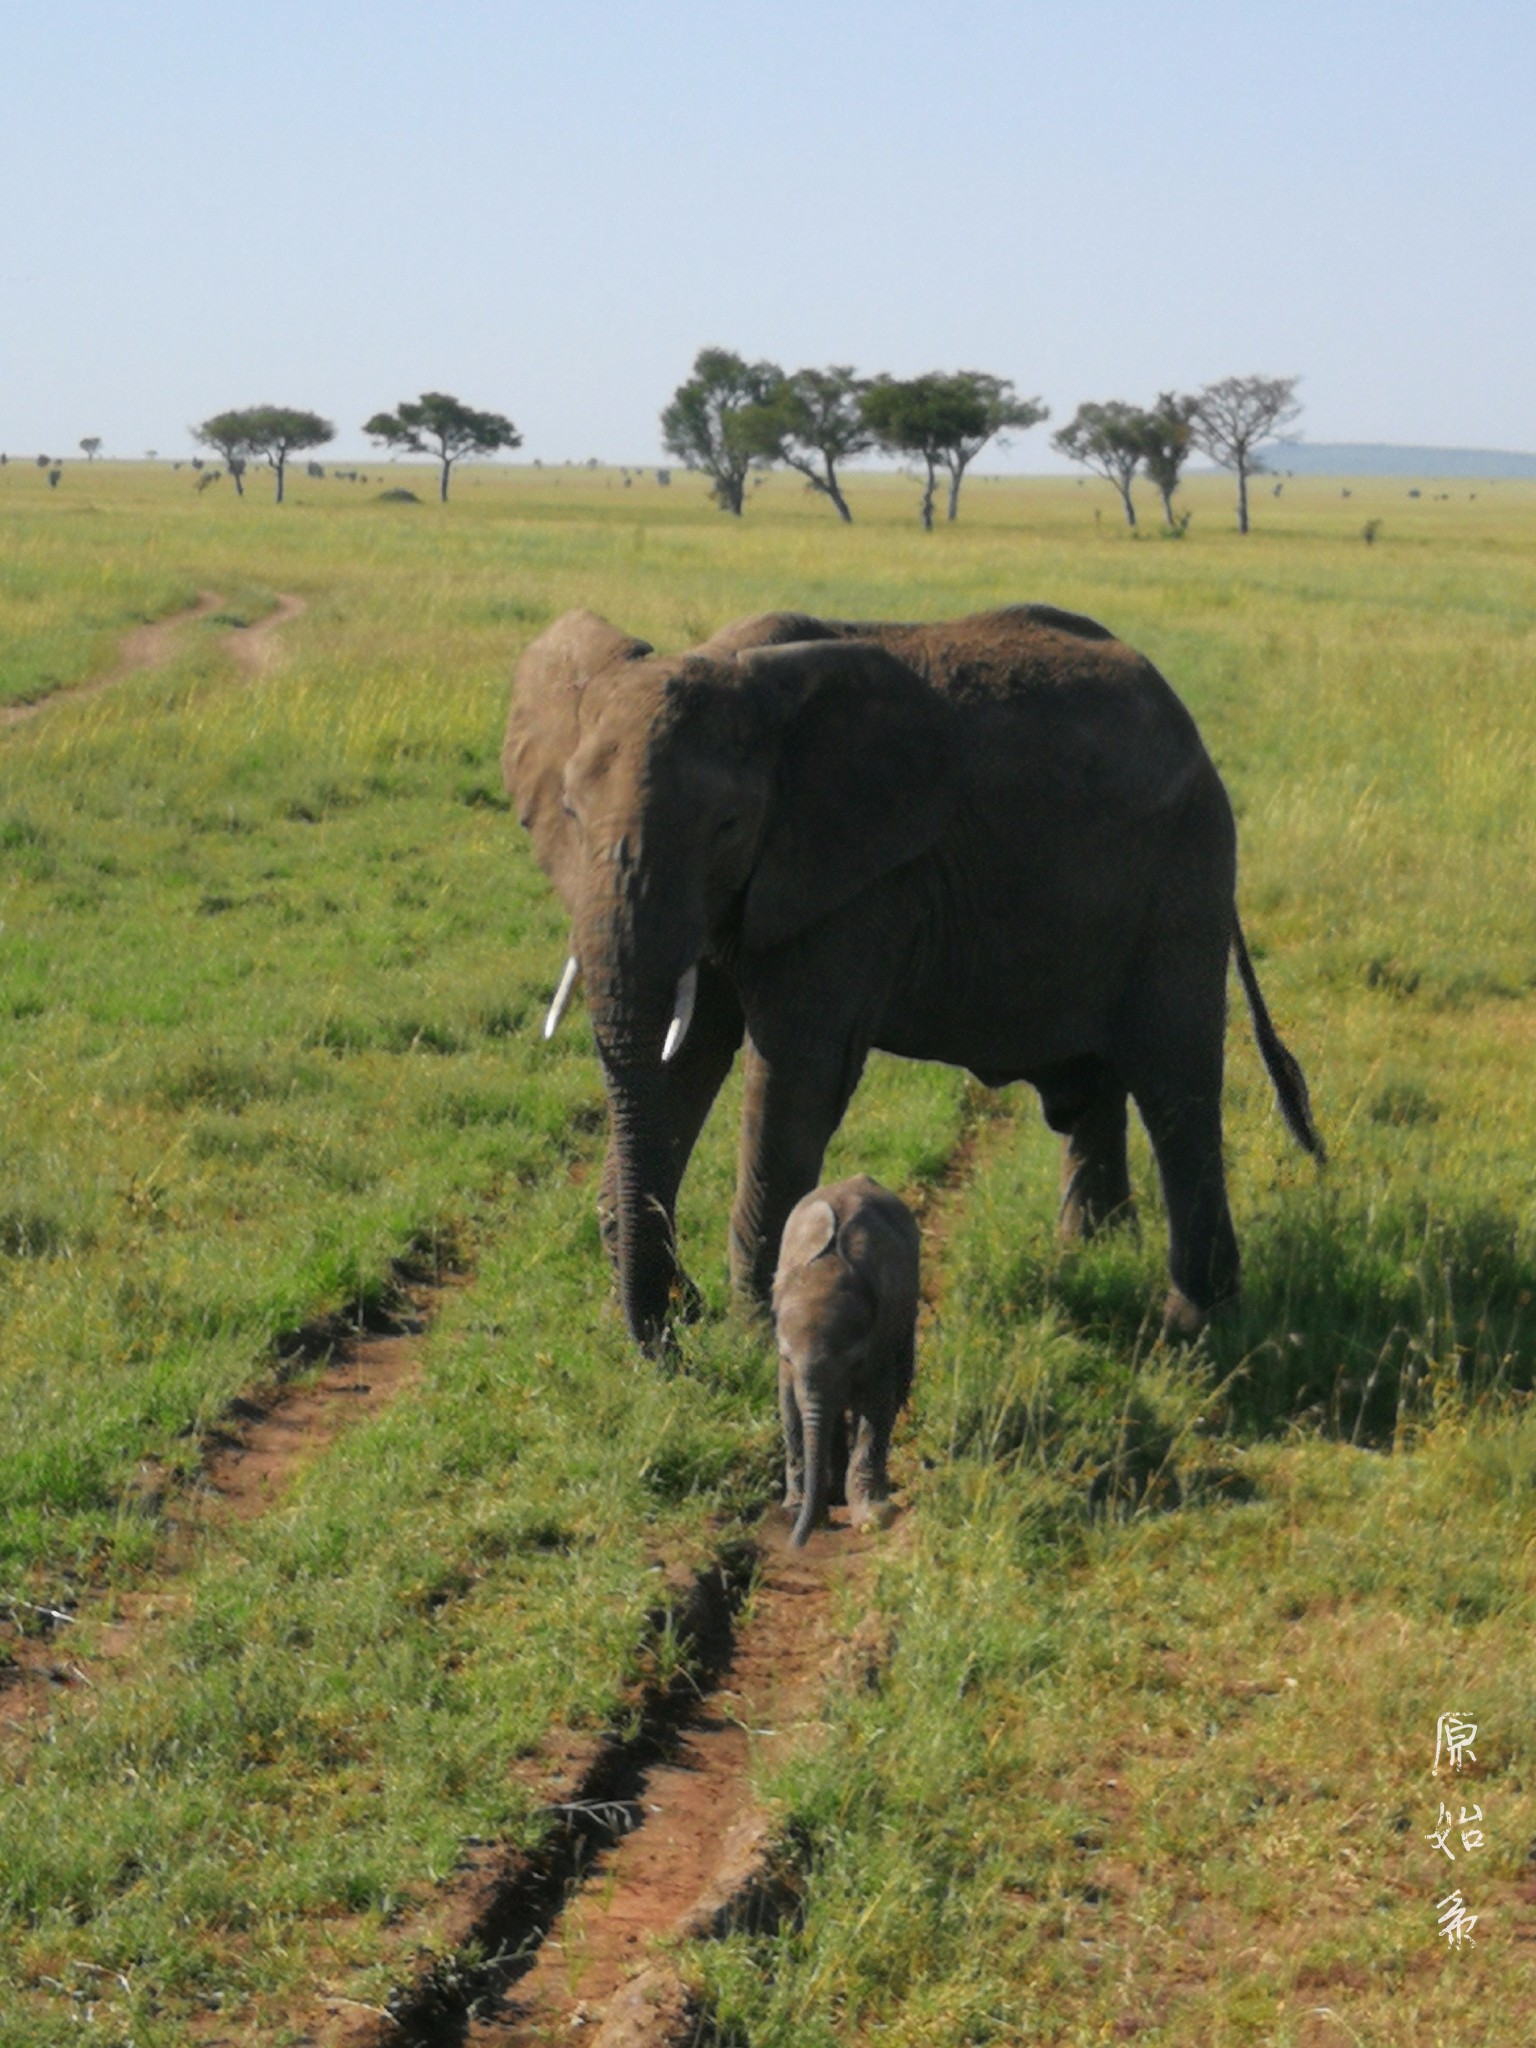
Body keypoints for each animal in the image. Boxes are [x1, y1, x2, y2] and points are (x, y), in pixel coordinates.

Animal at [505, 598, 1327, 1351]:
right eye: (569, 813)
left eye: (728, 825)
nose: (673, 1336)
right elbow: (683, 1059)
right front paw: (674, 1319)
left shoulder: (858, 882)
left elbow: (796, 1075)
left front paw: (751, 1339)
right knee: (1103, 1082)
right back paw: (1091, 1256)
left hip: (1184, 872)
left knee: (1174, 1080)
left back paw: (1196, 1326)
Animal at [774, 1179, 921, 1540]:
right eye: (786, 1356)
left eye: (854, 1360)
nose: (796, 1543)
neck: (824, 1272)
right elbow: (790, 1409)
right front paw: (794, 1512)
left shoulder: (880, 1335)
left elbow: (878, 1402)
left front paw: (873, 1516)